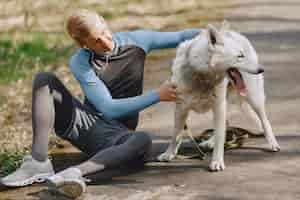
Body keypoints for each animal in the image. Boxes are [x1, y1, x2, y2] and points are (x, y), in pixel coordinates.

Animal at [158, 21, 280, 171]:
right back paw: (209, 142)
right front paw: (169, 154)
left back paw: (272, 143)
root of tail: (234, 33)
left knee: (264, 120)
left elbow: (220, 138)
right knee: (224, 124)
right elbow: (176, 134)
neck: (201, 76)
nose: (262, 69)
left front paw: (217, 162)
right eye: (240, 56)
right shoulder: (181, 108)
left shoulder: (218, 106)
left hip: (253, 98)